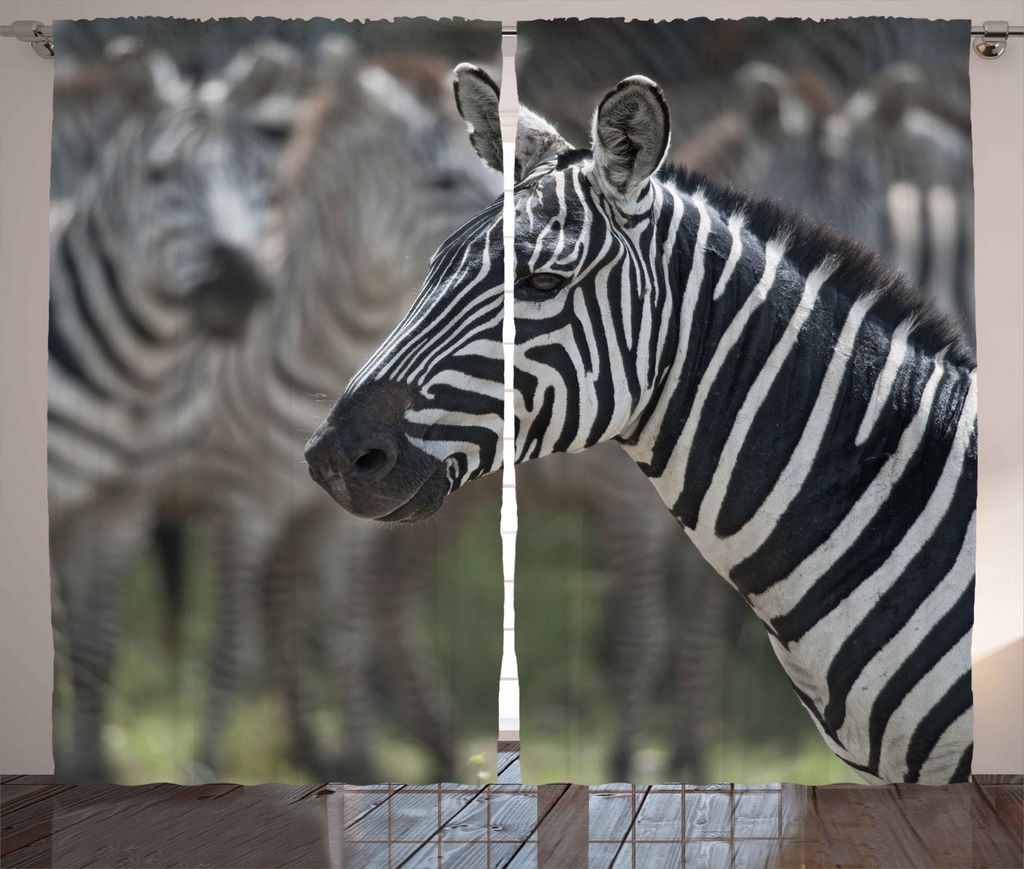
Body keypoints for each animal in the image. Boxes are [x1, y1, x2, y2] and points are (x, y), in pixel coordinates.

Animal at [49, 92, 278, 781]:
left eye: (261, 175)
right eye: (159, 174)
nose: (240, 289)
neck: (134, 374)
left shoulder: (121, 506)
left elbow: (93, 651)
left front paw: (89, 771)